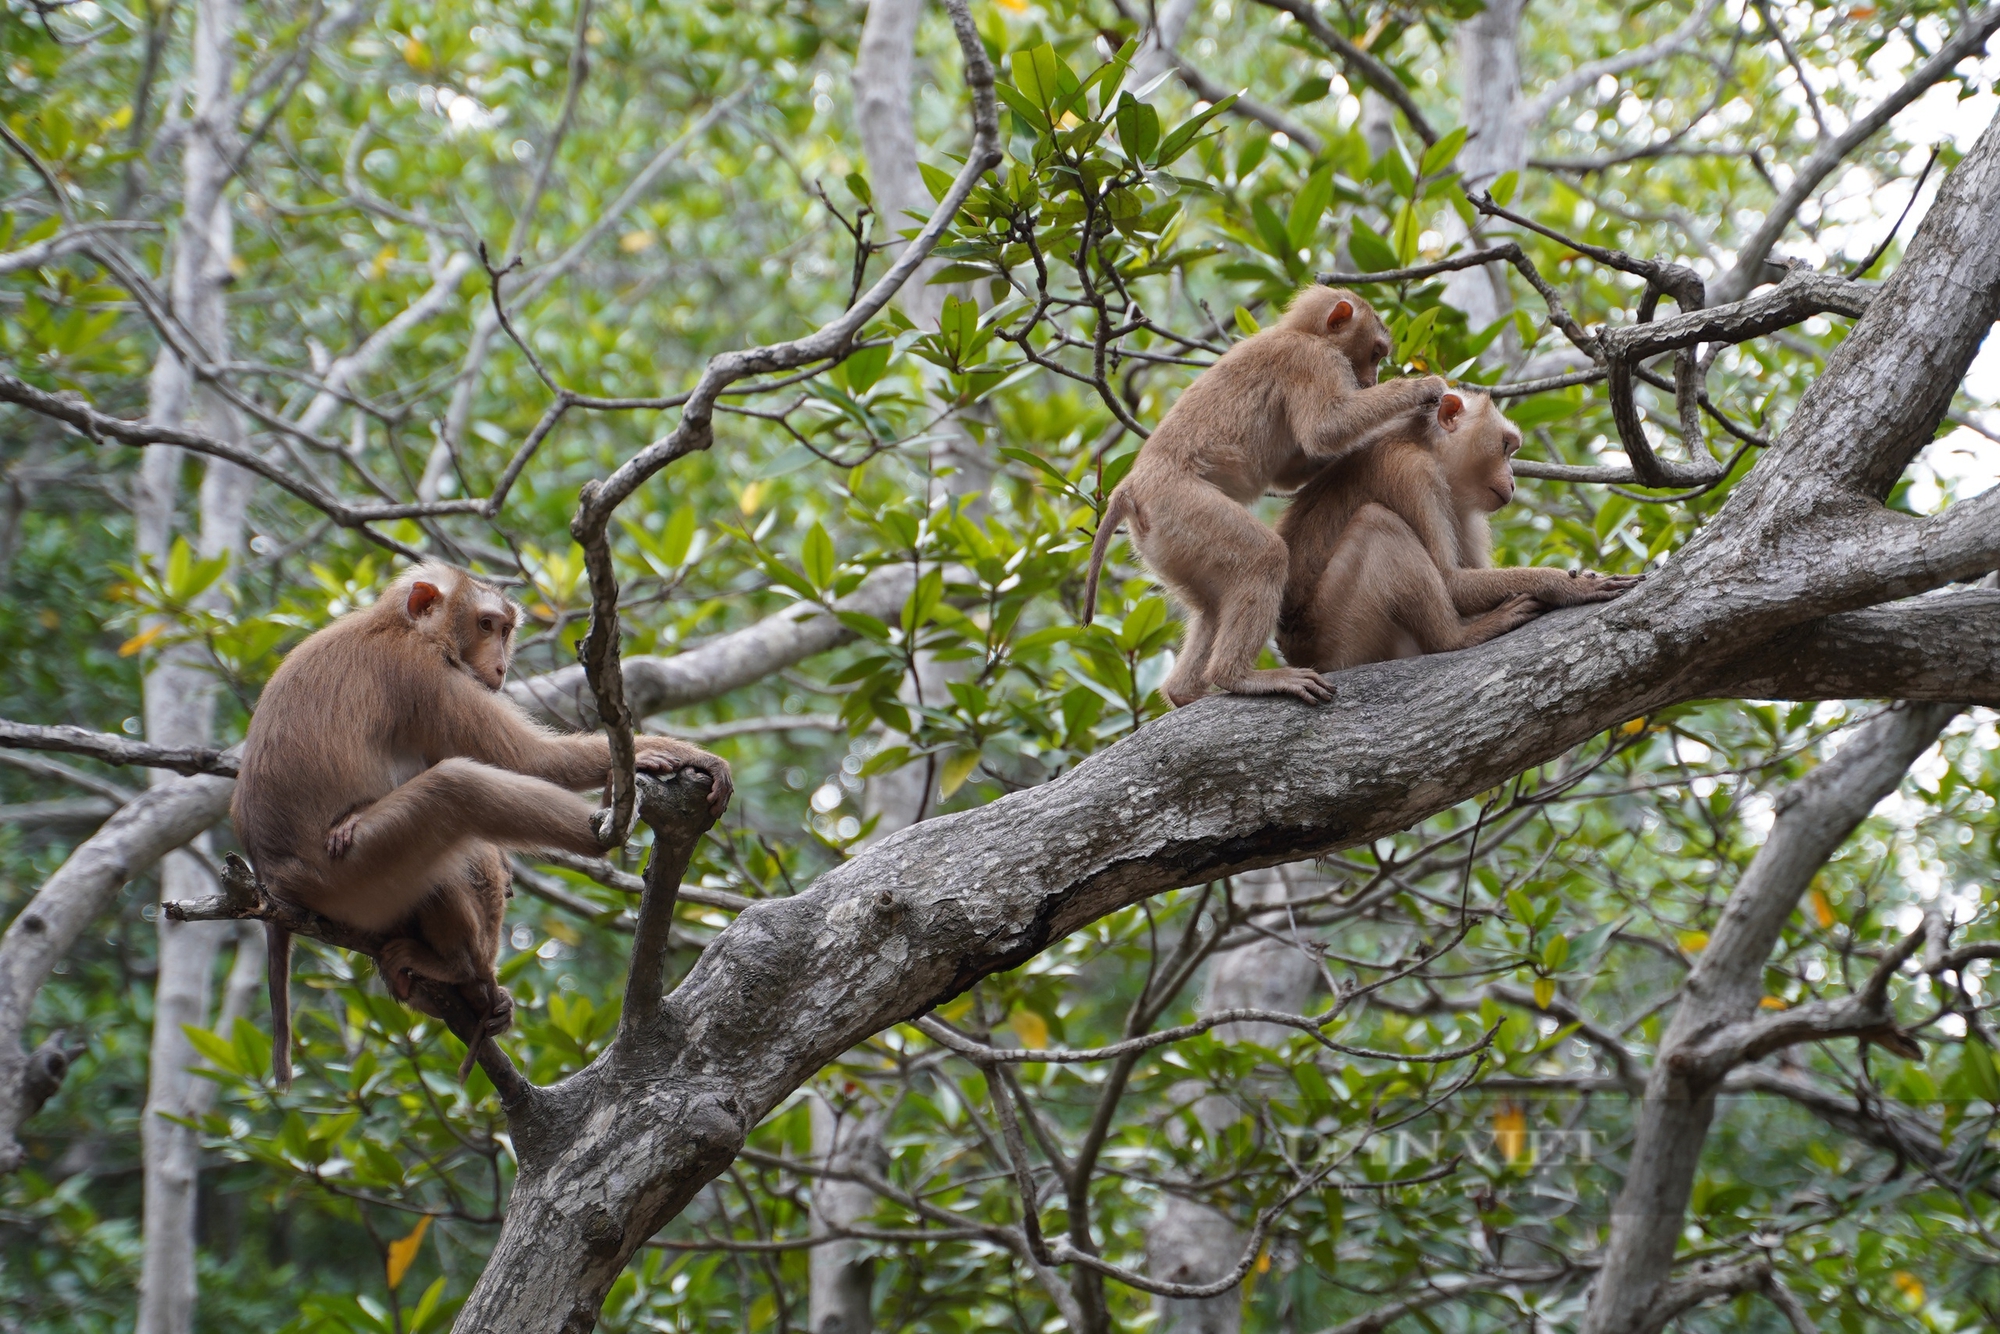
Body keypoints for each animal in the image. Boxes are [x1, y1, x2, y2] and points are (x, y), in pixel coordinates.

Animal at [232, 564, 736, 1088]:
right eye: (487, 625)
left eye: (505, 631)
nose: (500, 667)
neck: (401, 625)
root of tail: (274, 877)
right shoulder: (423, 672)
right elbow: (530, 761)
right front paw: (667, 753)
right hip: (349, 876)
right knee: (457, 789)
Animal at [1088, 286, 1448, 708]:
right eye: (1376, 353)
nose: (1370, 379)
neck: (1302, 332)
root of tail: (1131, 488)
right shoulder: (1313, 360)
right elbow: (1325, 429)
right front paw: (1418, 391)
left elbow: (1291, 470)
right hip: (1181, 506)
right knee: (1264, 557)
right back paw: (1237, 677)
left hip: (1166, 542)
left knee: (1212, 605)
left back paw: (1184, 692)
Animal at [1280, 392, 1640, 672]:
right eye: (1506, 446)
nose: (1513, 481)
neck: (1423, 444)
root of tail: (1301, 659)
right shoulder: (1411, 472)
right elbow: (1451, 582)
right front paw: (1565, 584)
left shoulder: (1465, 507)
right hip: (1341, 637)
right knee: (1378, 522)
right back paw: (1454, 639)